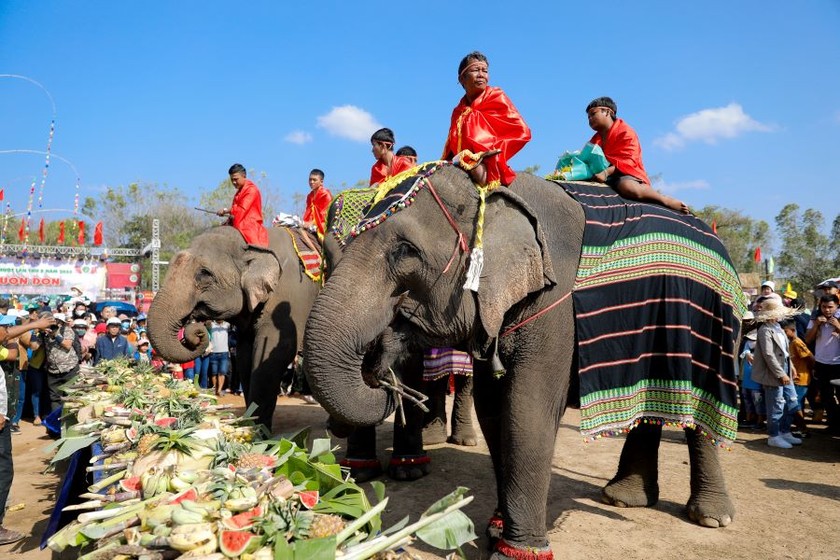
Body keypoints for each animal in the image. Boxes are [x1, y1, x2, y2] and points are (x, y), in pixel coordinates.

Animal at [146, 225, 320, 430]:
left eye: (204, 273)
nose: (195, 329)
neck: (252, 243)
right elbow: (246, 357)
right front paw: (250, 424)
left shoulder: (290, 300)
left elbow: (277, 353)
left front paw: (259, 433)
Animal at [302, 164, 740, 556]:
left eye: (404, 251)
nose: (383, 368)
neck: (491, 191)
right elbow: (494, 409)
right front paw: (497, 529)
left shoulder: (555, 304)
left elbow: (526, 409)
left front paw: (516, 550)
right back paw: (622, 498)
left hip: (716, 327)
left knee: (702, 411)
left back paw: (711, 518)